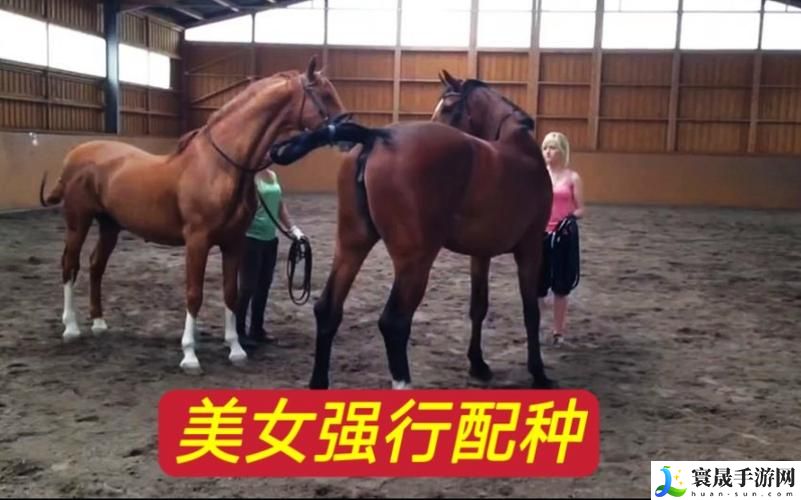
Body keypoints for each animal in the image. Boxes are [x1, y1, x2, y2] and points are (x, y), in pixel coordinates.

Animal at [38, 56, 347, 375]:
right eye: (324, 94)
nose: (347, 133)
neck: (221, 166)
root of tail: (75, 154)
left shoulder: (234, 242)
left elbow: (231, 292)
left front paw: (236, 349)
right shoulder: (197, 242)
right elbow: (194, 293)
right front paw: (189, 354)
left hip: (110, 225)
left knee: (96, 265)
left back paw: (99, 323)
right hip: (78, 222)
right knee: (70, 265)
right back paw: (71, 327)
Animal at [300, 69, 555, 390]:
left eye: (448, 107)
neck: (517, 149)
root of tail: (378, 136)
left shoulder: (481, 254)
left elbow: (479, 307)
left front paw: (478, 364)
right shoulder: (531, 248)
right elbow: (531, 311)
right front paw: (539, 372)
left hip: (351, 246)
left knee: (327, 309)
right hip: (415, 261)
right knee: (394, 323)